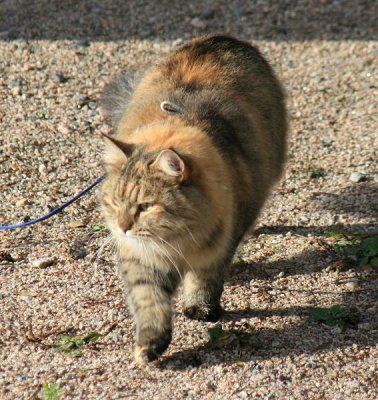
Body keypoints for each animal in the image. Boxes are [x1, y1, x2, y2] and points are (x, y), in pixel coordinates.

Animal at [99, 36, 288, 364]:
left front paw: (200, 308)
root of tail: (225, 38)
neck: (176, 241)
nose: (123, 228)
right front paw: (151, 343)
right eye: (115, 204)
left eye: (145, 207)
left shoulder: (220, 243)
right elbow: (150, 302)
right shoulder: (141, 259)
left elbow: (204, 279)